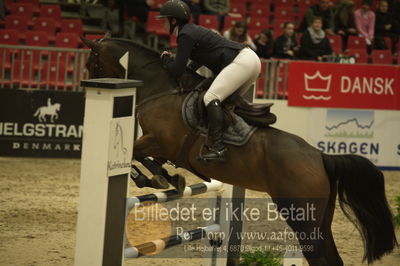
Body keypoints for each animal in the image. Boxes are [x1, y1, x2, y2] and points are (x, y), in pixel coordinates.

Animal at [81, 35, 396, 266]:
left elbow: (136, 153)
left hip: (301, 217)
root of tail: (320, 156)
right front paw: (168, 178)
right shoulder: (162, 147)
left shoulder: (159, 140)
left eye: (91, 62)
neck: (162, 88)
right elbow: (150, 160)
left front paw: (152, 178)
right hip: (321, 217)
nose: (86, 82)